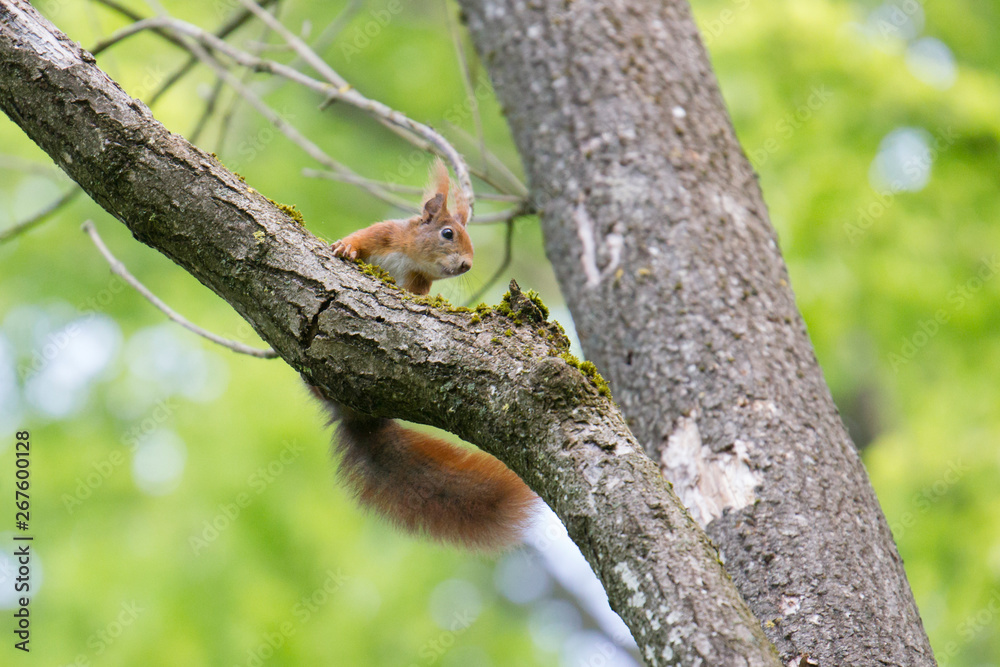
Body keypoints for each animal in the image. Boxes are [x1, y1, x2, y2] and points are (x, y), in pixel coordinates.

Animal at [316, 159, 544, 552]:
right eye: (448, 233)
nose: (467, 265)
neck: (409, 254)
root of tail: (353, 414)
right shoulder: (382, 234)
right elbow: (359, 238)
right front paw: (344, 247)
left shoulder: (418, 282)